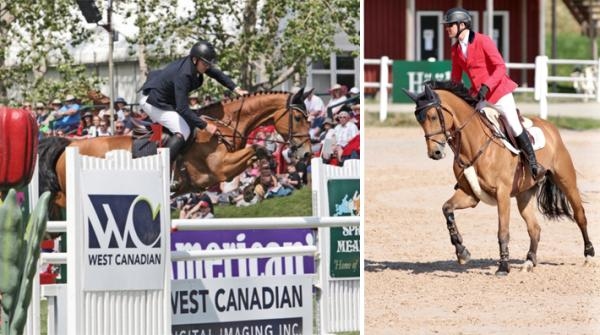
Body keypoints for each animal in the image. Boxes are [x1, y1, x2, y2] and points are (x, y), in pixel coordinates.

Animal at [38, 89, 312, 215]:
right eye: (298, 118)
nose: (307, 154)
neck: (224, 126)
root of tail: (69, 144)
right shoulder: (220, 169)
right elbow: (258, 148)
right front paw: (252, 188)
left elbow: (260, 153)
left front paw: (252, 188)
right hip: (67, 195)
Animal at [404, 81, 596, 276]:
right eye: (419, 120)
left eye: (433, 116)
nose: (435, 153)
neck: (471, 145)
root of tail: (550, 126)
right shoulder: (469, 194)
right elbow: (447, 209)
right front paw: (461, 251)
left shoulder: (502, 193)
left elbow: (502, 231)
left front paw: (503, 266)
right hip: (524, 194)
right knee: (534, 228)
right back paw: (529, 262)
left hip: (566, 180)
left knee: (580, 216)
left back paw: (589, 255)